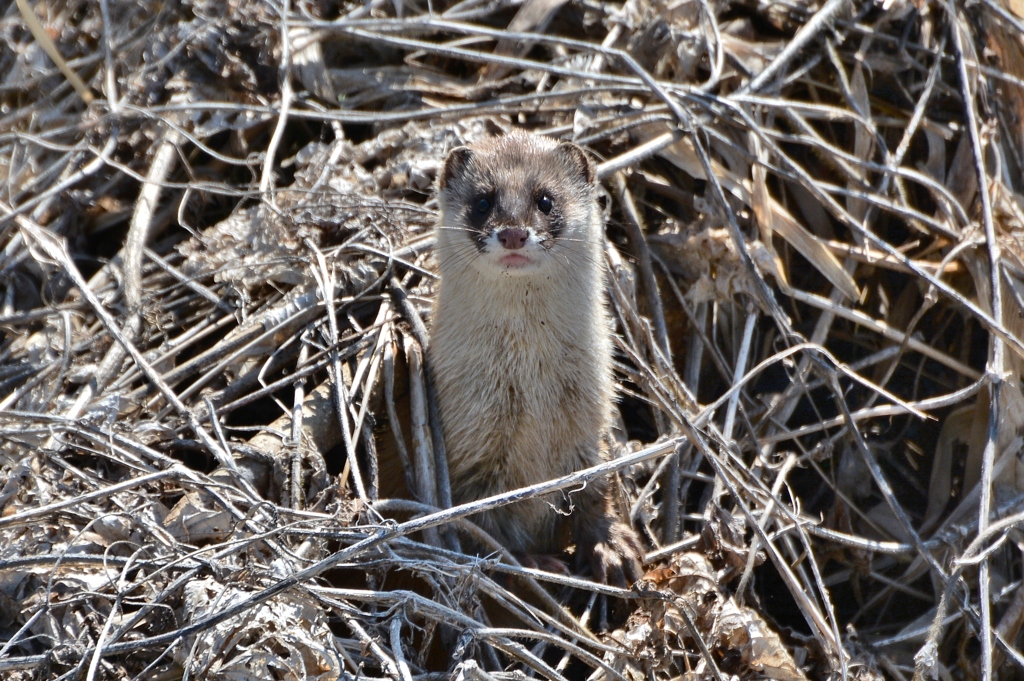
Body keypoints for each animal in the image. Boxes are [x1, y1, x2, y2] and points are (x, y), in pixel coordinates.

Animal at [430, 131, 638, 585]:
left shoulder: (590, 421)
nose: (512, 232)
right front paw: (529, 562)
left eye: (545, 199)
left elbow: (595, 487)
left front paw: (612, 546)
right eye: (483, 200)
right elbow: (482, 523)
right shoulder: (471, 446)